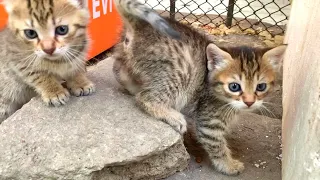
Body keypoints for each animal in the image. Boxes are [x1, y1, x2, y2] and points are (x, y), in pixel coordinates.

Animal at [112, 0, 284, 176]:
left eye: (261, 87)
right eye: (234, 87)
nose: (249, 102)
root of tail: (140, 26)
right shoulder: (209, 121)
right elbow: (217, 145)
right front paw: (228, 165)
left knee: (118, 68)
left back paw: (132, 85)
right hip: (180, 73)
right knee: (145, 97)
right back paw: (172, 115)